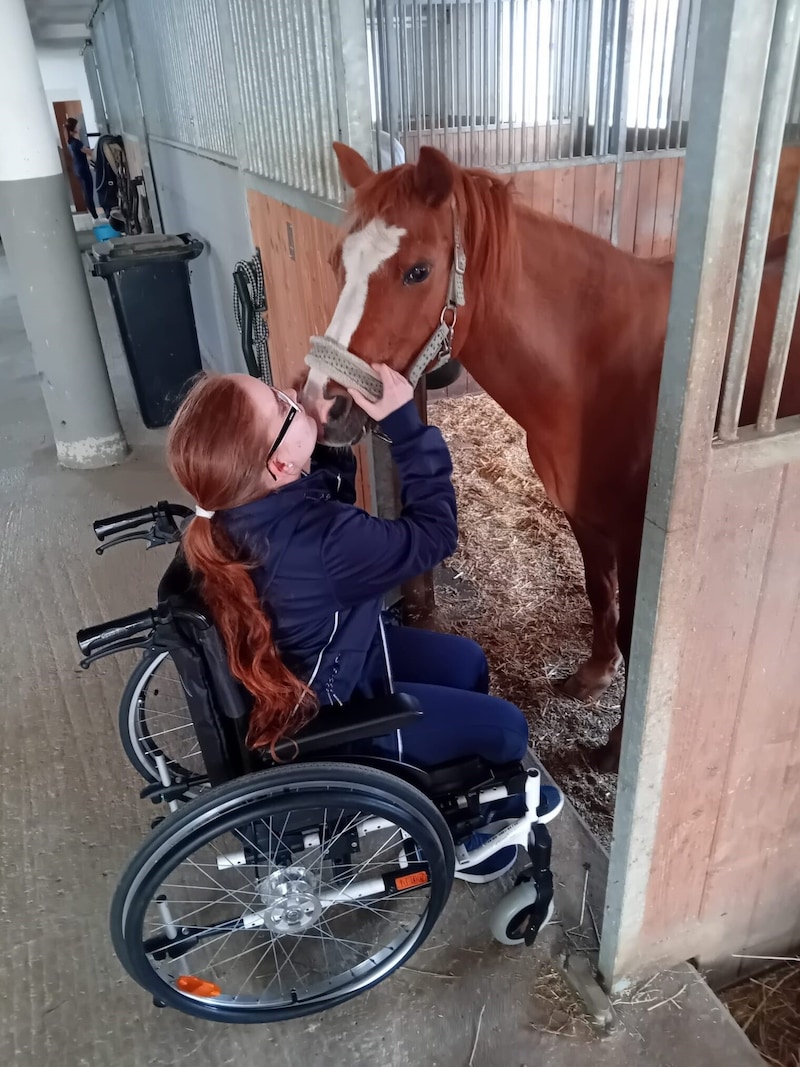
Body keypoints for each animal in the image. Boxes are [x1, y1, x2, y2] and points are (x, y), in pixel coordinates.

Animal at [302, 146, 800, 772]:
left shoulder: (639, 542)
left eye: (418, 271)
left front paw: (617, 748)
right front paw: (593, 676)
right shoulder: (586, 516)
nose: (322, 404)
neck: (599, 367)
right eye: (337, 262)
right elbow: (600, 594)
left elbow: (636, 633)